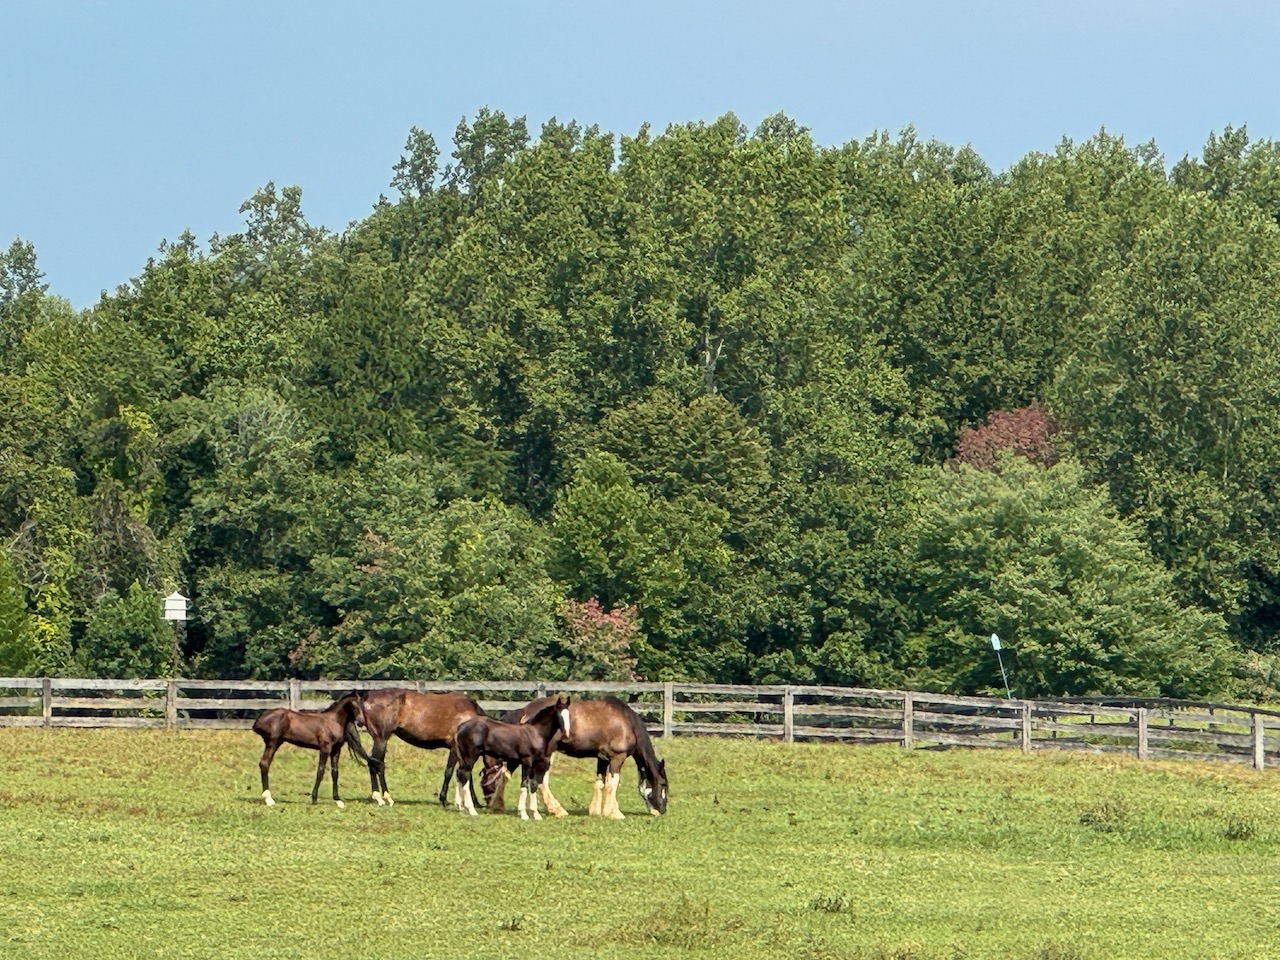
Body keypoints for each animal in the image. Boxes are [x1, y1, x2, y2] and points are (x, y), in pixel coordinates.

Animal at [355, 686, 483, 808]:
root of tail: (367, 696)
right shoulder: (455, 749)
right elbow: (450, 772)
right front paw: (444, 799)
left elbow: (467, 776)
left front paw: (475, 802)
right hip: (381, 740)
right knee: (375, 765)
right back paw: (381, 797)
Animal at [453, 696, 568, 824]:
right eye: (559, 714)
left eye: (568, 714)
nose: (566, 734)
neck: (535, 733)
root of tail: (461, 727)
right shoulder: (526, 761)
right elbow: (524, 784)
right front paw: (523, 814)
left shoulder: (534, 764)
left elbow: (533, 785)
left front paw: (536, 814)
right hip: (470, 756)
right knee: (465, 775)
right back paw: (471, 810)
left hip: (464, 757)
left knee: (459, 773)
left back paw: (460, 806)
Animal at [481, 696, 670, 824]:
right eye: (663, 785)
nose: (662, 810)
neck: (626, 721)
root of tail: (526, 710)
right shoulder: (617, 757)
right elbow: (613, 784)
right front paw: (614, 812)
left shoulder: (603, 759)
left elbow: (602, 783)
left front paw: (598, 810)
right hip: (546, 755)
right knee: (540, 782)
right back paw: (556, 809)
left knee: (507, 773)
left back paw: (497, 805)